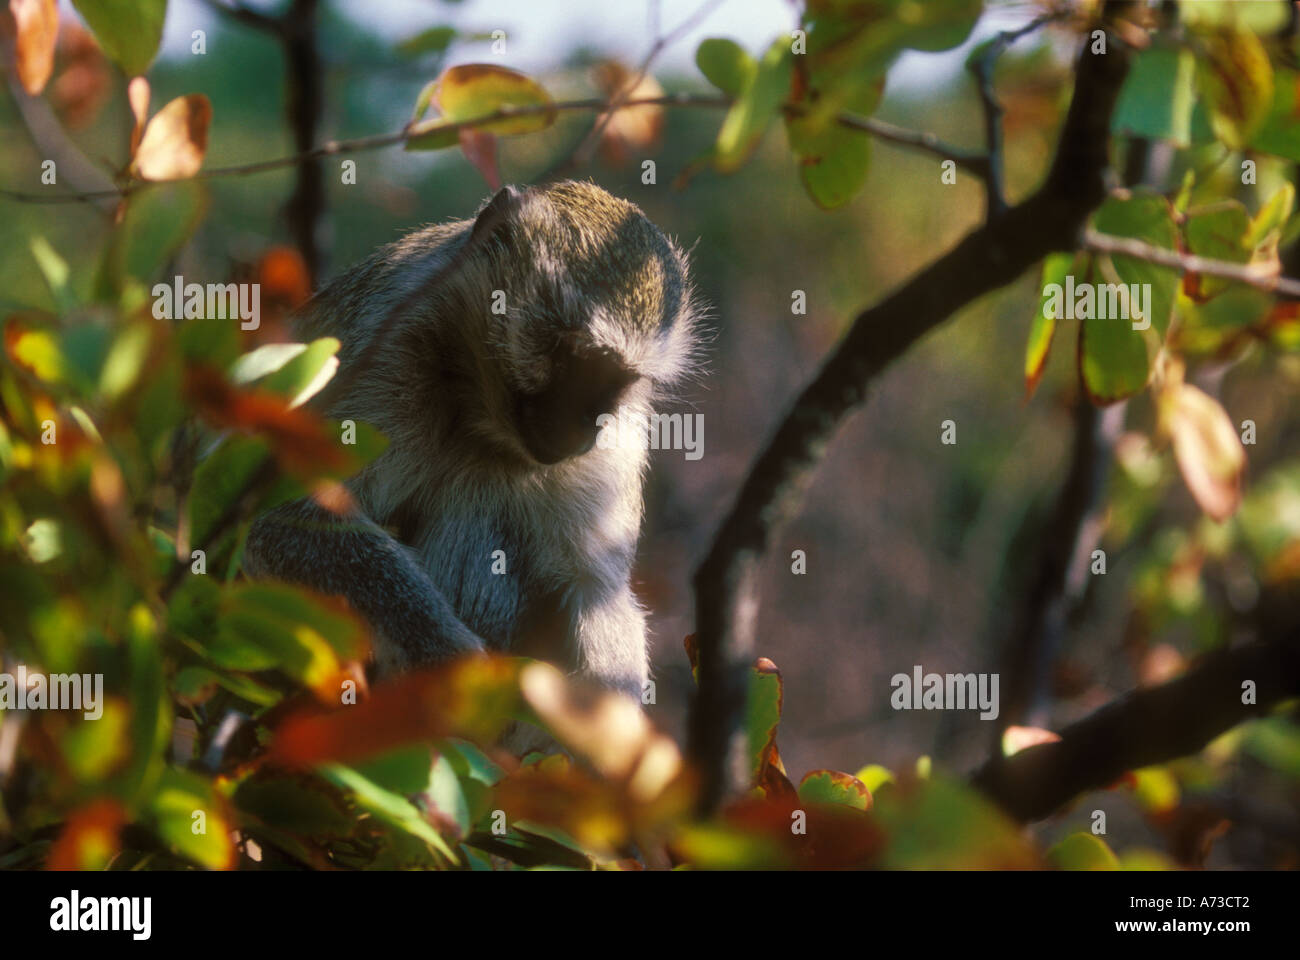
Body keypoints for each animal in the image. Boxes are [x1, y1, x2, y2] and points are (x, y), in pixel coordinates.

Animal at [241, 181, 702, 732]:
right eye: (576, 359)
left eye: (618, 379)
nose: (588, 427)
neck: (475, 402)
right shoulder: (389, 344)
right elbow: (283, 515)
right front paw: (448, 666)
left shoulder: (621, 438)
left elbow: (595, 586)